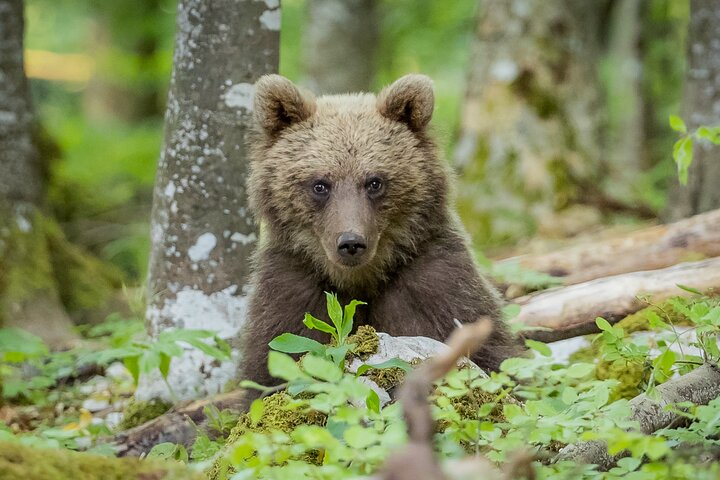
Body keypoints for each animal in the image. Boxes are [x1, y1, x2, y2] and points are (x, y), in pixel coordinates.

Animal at [240, 74, 520, 389]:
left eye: (375, 182)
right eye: (320, 184)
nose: (351, 242)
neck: (360, 279)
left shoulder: (434, 286)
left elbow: (493, 356)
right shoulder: (291, 291)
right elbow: (268, 367)